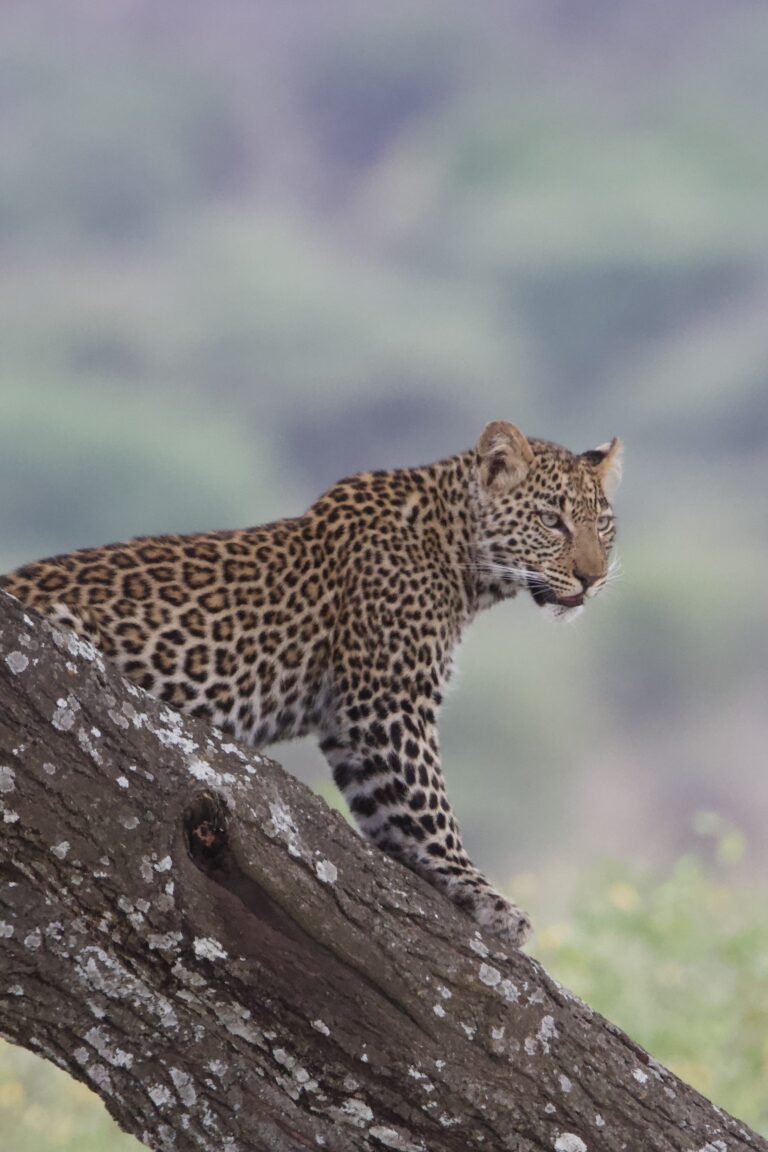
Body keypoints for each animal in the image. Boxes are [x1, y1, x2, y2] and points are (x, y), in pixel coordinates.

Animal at [1, 421, 622, 946]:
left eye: (603, 524)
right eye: (551, 520)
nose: (592, 579)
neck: (457, 551)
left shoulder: (350, 725)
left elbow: (393, 814)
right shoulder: (389, 701)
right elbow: (430, 806)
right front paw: (488, 897)